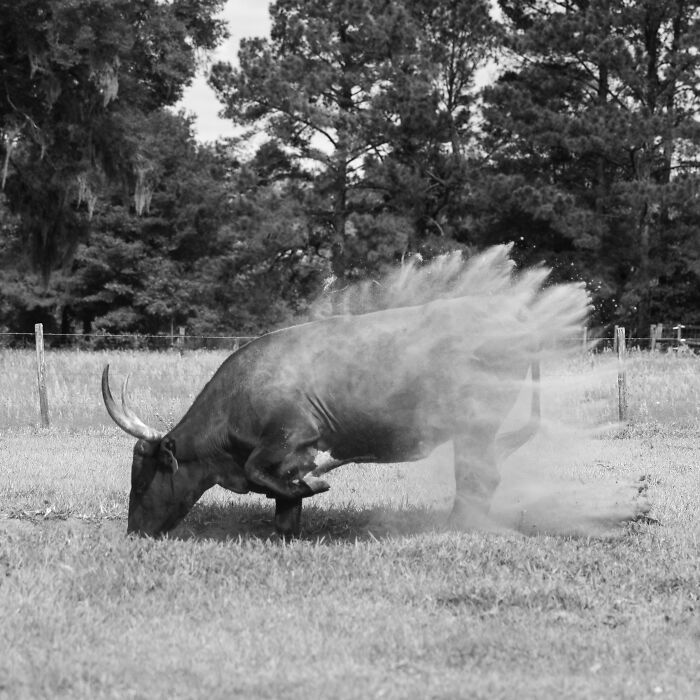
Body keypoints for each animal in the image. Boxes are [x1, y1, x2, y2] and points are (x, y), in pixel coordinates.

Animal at [102, 247, 589, 538]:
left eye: (142, 480)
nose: (134, 533)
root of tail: (515, 315)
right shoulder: (287, 456)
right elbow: (282, 502)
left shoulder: (293, 437)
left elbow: (266, 474)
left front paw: (315, 484)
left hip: (477, 426)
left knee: (479, 478)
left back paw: (457, 526)